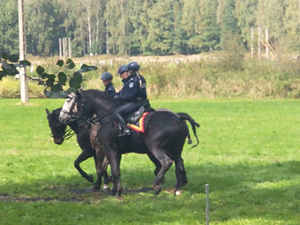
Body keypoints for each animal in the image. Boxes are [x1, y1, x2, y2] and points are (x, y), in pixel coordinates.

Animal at [58, 89, 199, 197]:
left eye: (78, 104)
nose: (81, 124)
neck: (107, 119)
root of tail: (178, 117)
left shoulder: (109, 150)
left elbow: (112, 170)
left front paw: (117, 192)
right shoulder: (113, 151)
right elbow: (112, 169)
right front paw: (113, 189)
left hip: (156, 148)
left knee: (166, 163)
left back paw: (156, 185)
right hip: (175, 149)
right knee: (179, 164)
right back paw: (177, 189)